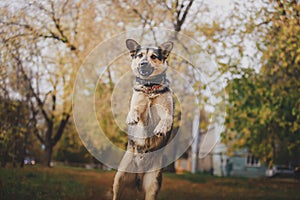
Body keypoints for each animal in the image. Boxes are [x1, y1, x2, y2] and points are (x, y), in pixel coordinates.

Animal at [112, 39, 173, 200]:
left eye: (153, 56)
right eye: (139, 56)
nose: (143, 63)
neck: (150, 88)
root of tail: (138, 176)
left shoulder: (167, 112)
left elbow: (165, 119)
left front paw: (160, 128)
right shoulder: (140, 109)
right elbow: (134, 110)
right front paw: (131, 117)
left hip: (153, 184)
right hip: (119, 178)